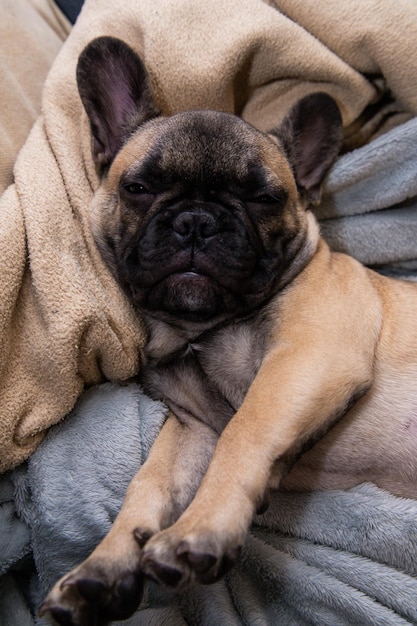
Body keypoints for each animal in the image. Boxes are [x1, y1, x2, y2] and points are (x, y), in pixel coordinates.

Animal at [40, 35, 416, 624]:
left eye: (264, 199)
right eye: (139, 187)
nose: (197, 220)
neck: (202, 329)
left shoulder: (305, 359)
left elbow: (243, 434)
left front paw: (197, 532)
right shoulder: (194, 430)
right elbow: (147, 486)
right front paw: (101, 569)